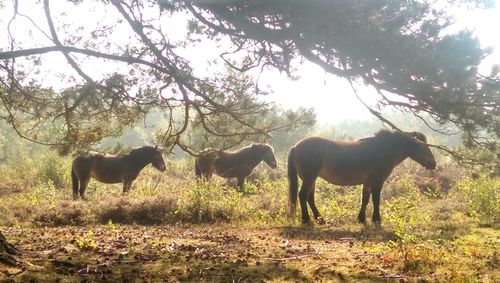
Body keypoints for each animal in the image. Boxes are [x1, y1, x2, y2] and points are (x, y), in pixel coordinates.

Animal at [288, 131, 436, 226]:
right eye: (424, 146)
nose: (433, 163)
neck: (384, 149)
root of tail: (295, 147)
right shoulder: (378, 181)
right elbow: (376, 200)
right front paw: (376, 219)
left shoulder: (368, 182)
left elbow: (365, 199)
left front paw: (361, 218)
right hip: (309, 178)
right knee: (302, 195)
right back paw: (306, 220)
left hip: (312, 179)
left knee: (309, 198)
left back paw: (319, 219)